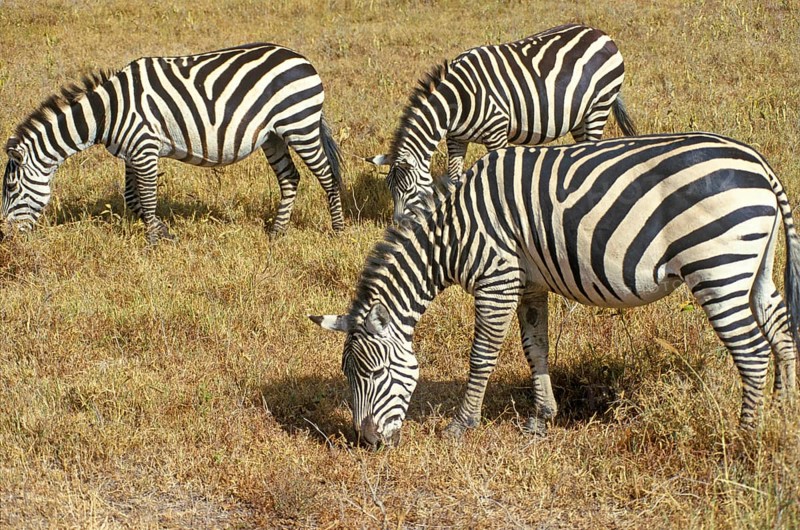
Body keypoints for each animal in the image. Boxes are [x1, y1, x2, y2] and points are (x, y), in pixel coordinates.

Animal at [2, 43, 344, 243]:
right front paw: (162, 232)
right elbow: (132, 198)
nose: (7, 239)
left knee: (327, 176)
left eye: (11, 189)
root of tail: (301, 59)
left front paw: (155, 242)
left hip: (300, 125)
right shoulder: (131, 153)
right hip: (273, 135)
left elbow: (147, 197)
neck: (107, 113)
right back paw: (276, 232)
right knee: (290, 178)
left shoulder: (144, 148)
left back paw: (337, 231)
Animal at [311, 132, 799, 446]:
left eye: (373, 373)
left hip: (717, 268)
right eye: (348, 377)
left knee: (753, 351)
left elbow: (482, 356)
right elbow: (536, 348)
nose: (367, 442)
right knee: (781, 331)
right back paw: (783, 411)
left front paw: (461, 426)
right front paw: (542, 419)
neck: (450, 234)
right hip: (753, 268)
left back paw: (746, 435)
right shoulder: (530, 283)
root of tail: (759, 165)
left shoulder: (497, 279)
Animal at [366, 23, 637, 223]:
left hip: (598, 106)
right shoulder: (455, 139)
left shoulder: (496, 133)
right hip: (580, 115)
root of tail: (601, 34)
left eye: (409, 190)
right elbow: (454, 178)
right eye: (390, 189)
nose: (397, 225)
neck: (457, 102)